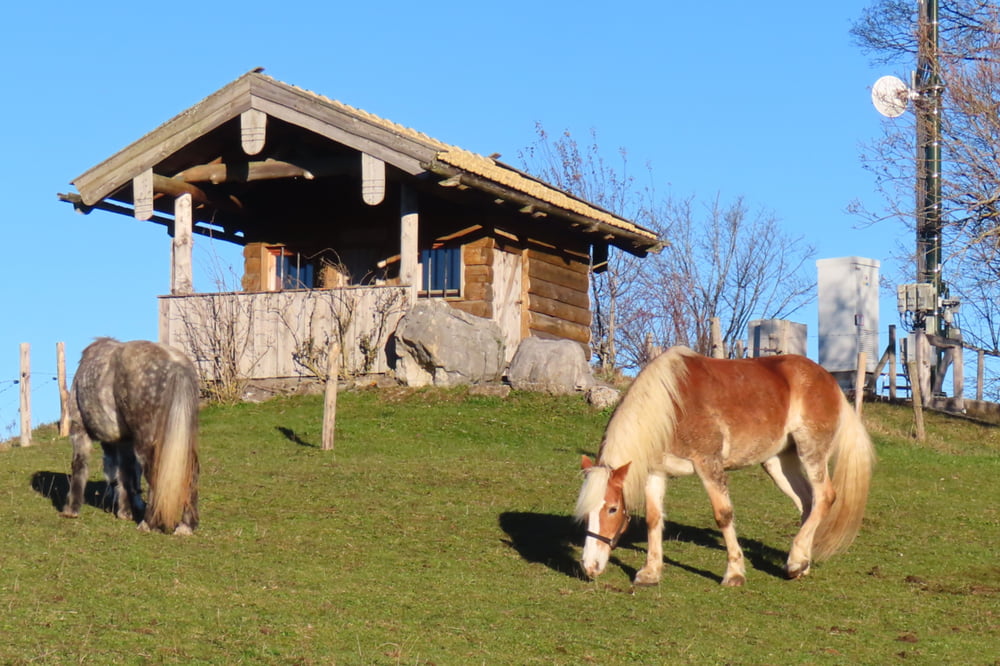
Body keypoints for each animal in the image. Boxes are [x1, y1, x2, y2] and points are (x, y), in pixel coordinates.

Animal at [61, 340, 201, 532]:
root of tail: (176, 364)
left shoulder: (79, 430)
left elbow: (80, 466)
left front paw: (71, 509)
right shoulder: (124, 441)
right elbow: (125, 474)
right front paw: (125, 512)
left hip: (147, 442)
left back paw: (148, 524)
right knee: (191, 473)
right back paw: (186, 526)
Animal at [576, 344, 872, 584]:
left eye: (613, 509)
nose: (590, 566)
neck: (673, 407)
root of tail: (829, 380)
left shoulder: (709, 465)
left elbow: (723, 515)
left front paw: (734, 573)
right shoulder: (656, 471)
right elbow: (653, 518)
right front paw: (650, 572)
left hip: (811, 451)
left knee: (824, 497)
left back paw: (795, 561)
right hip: (778, 462)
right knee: (807, 502)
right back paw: (802, 564)